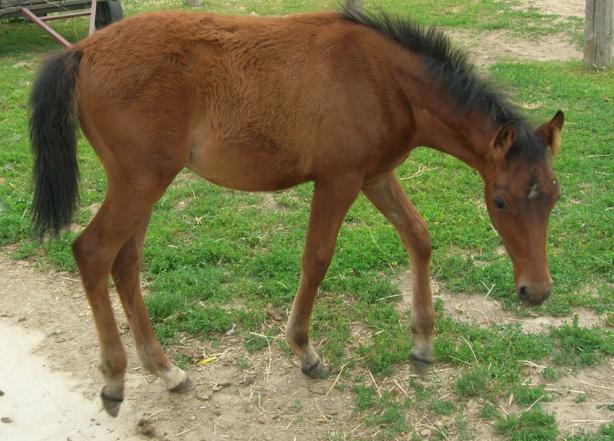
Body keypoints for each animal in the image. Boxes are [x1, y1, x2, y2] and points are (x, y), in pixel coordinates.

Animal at [31, 4, 564, 416]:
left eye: (555, 196)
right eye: (500, 200)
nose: (535, 291)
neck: (384, 79)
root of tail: (82, 50)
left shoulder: (376, 176)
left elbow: (418, 236)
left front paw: (422, 342)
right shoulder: (338, 180)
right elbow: (317, 258)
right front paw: (305, 352)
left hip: (144, 183)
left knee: (126, 261)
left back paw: (167, 370)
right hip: (141, 181)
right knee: (94, 252)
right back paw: (115, 379)